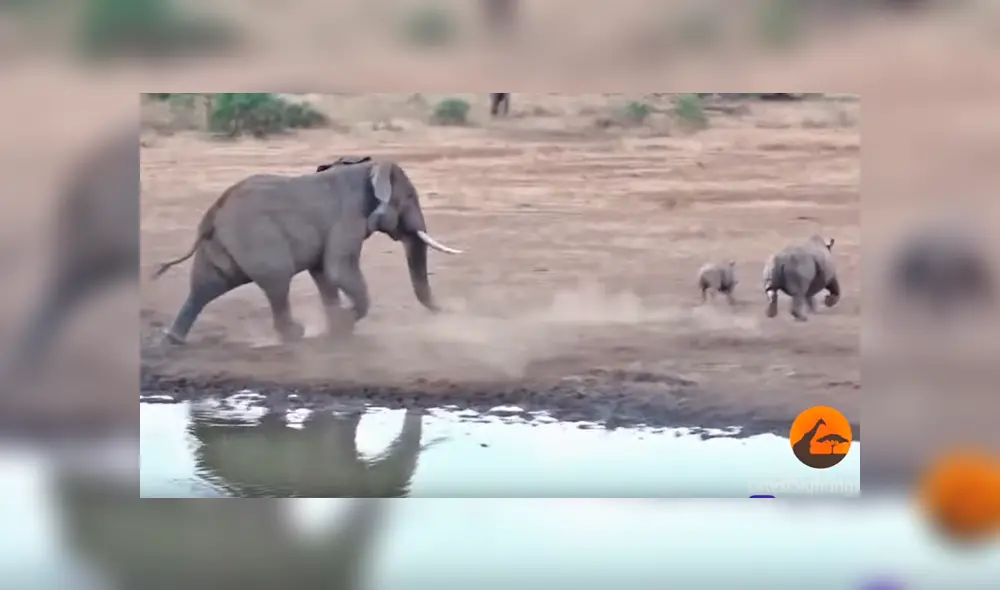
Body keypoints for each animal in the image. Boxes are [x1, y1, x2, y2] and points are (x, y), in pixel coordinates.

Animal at [151, 158, 463, 345]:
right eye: (409, 198)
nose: (450, 312)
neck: (368, 168)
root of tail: (213, 211)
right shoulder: (348, 218)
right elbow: (339, 270)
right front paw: (342, 325)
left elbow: (324, 274)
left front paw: (337, 328)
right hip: (258, 237)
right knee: (277, 282)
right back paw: (295, 335)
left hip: (220, 243)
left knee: (205, 286)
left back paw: (173, 340)